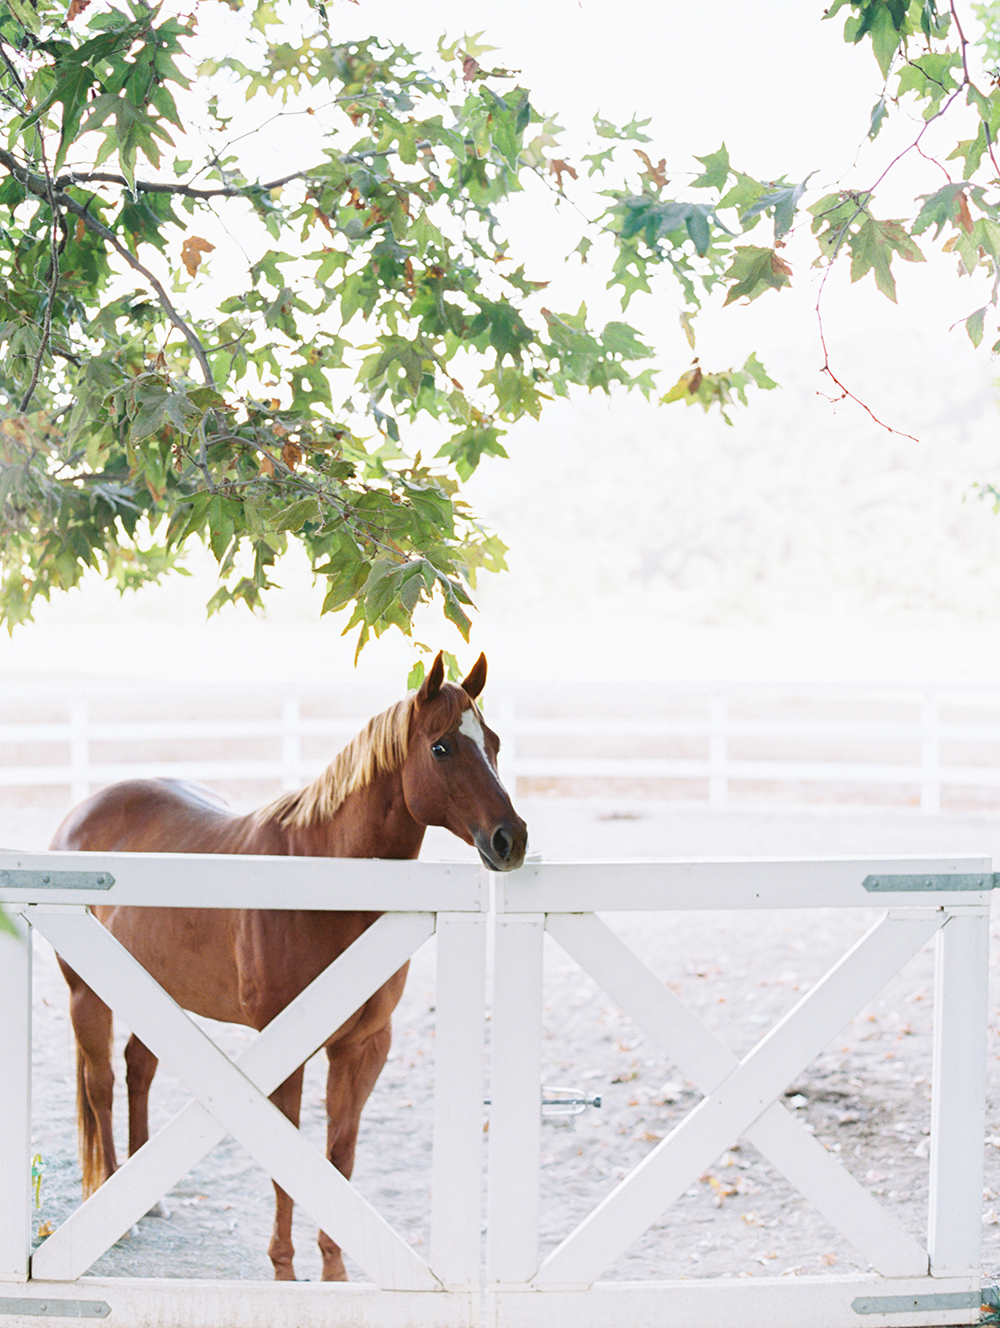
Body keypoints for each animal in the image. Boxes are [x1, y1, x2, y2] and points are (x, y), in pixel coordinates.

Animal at [50, 650, 525, 1274]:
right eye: (442, 747)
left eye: (492, 742)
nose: (511, 839)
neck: (322, 880)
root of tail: (79, 814)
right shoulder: (288, 1049)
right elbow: (290, 1164)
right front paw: (284, 1267)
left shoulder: (364, 1046)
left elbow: (339, 1157)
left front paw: (335, 1269)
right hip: (88, 993)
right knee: (100, 1083)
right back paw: (113, 1205)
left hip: (155, 991)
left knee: (138, 1069)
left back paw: (145, 1202)